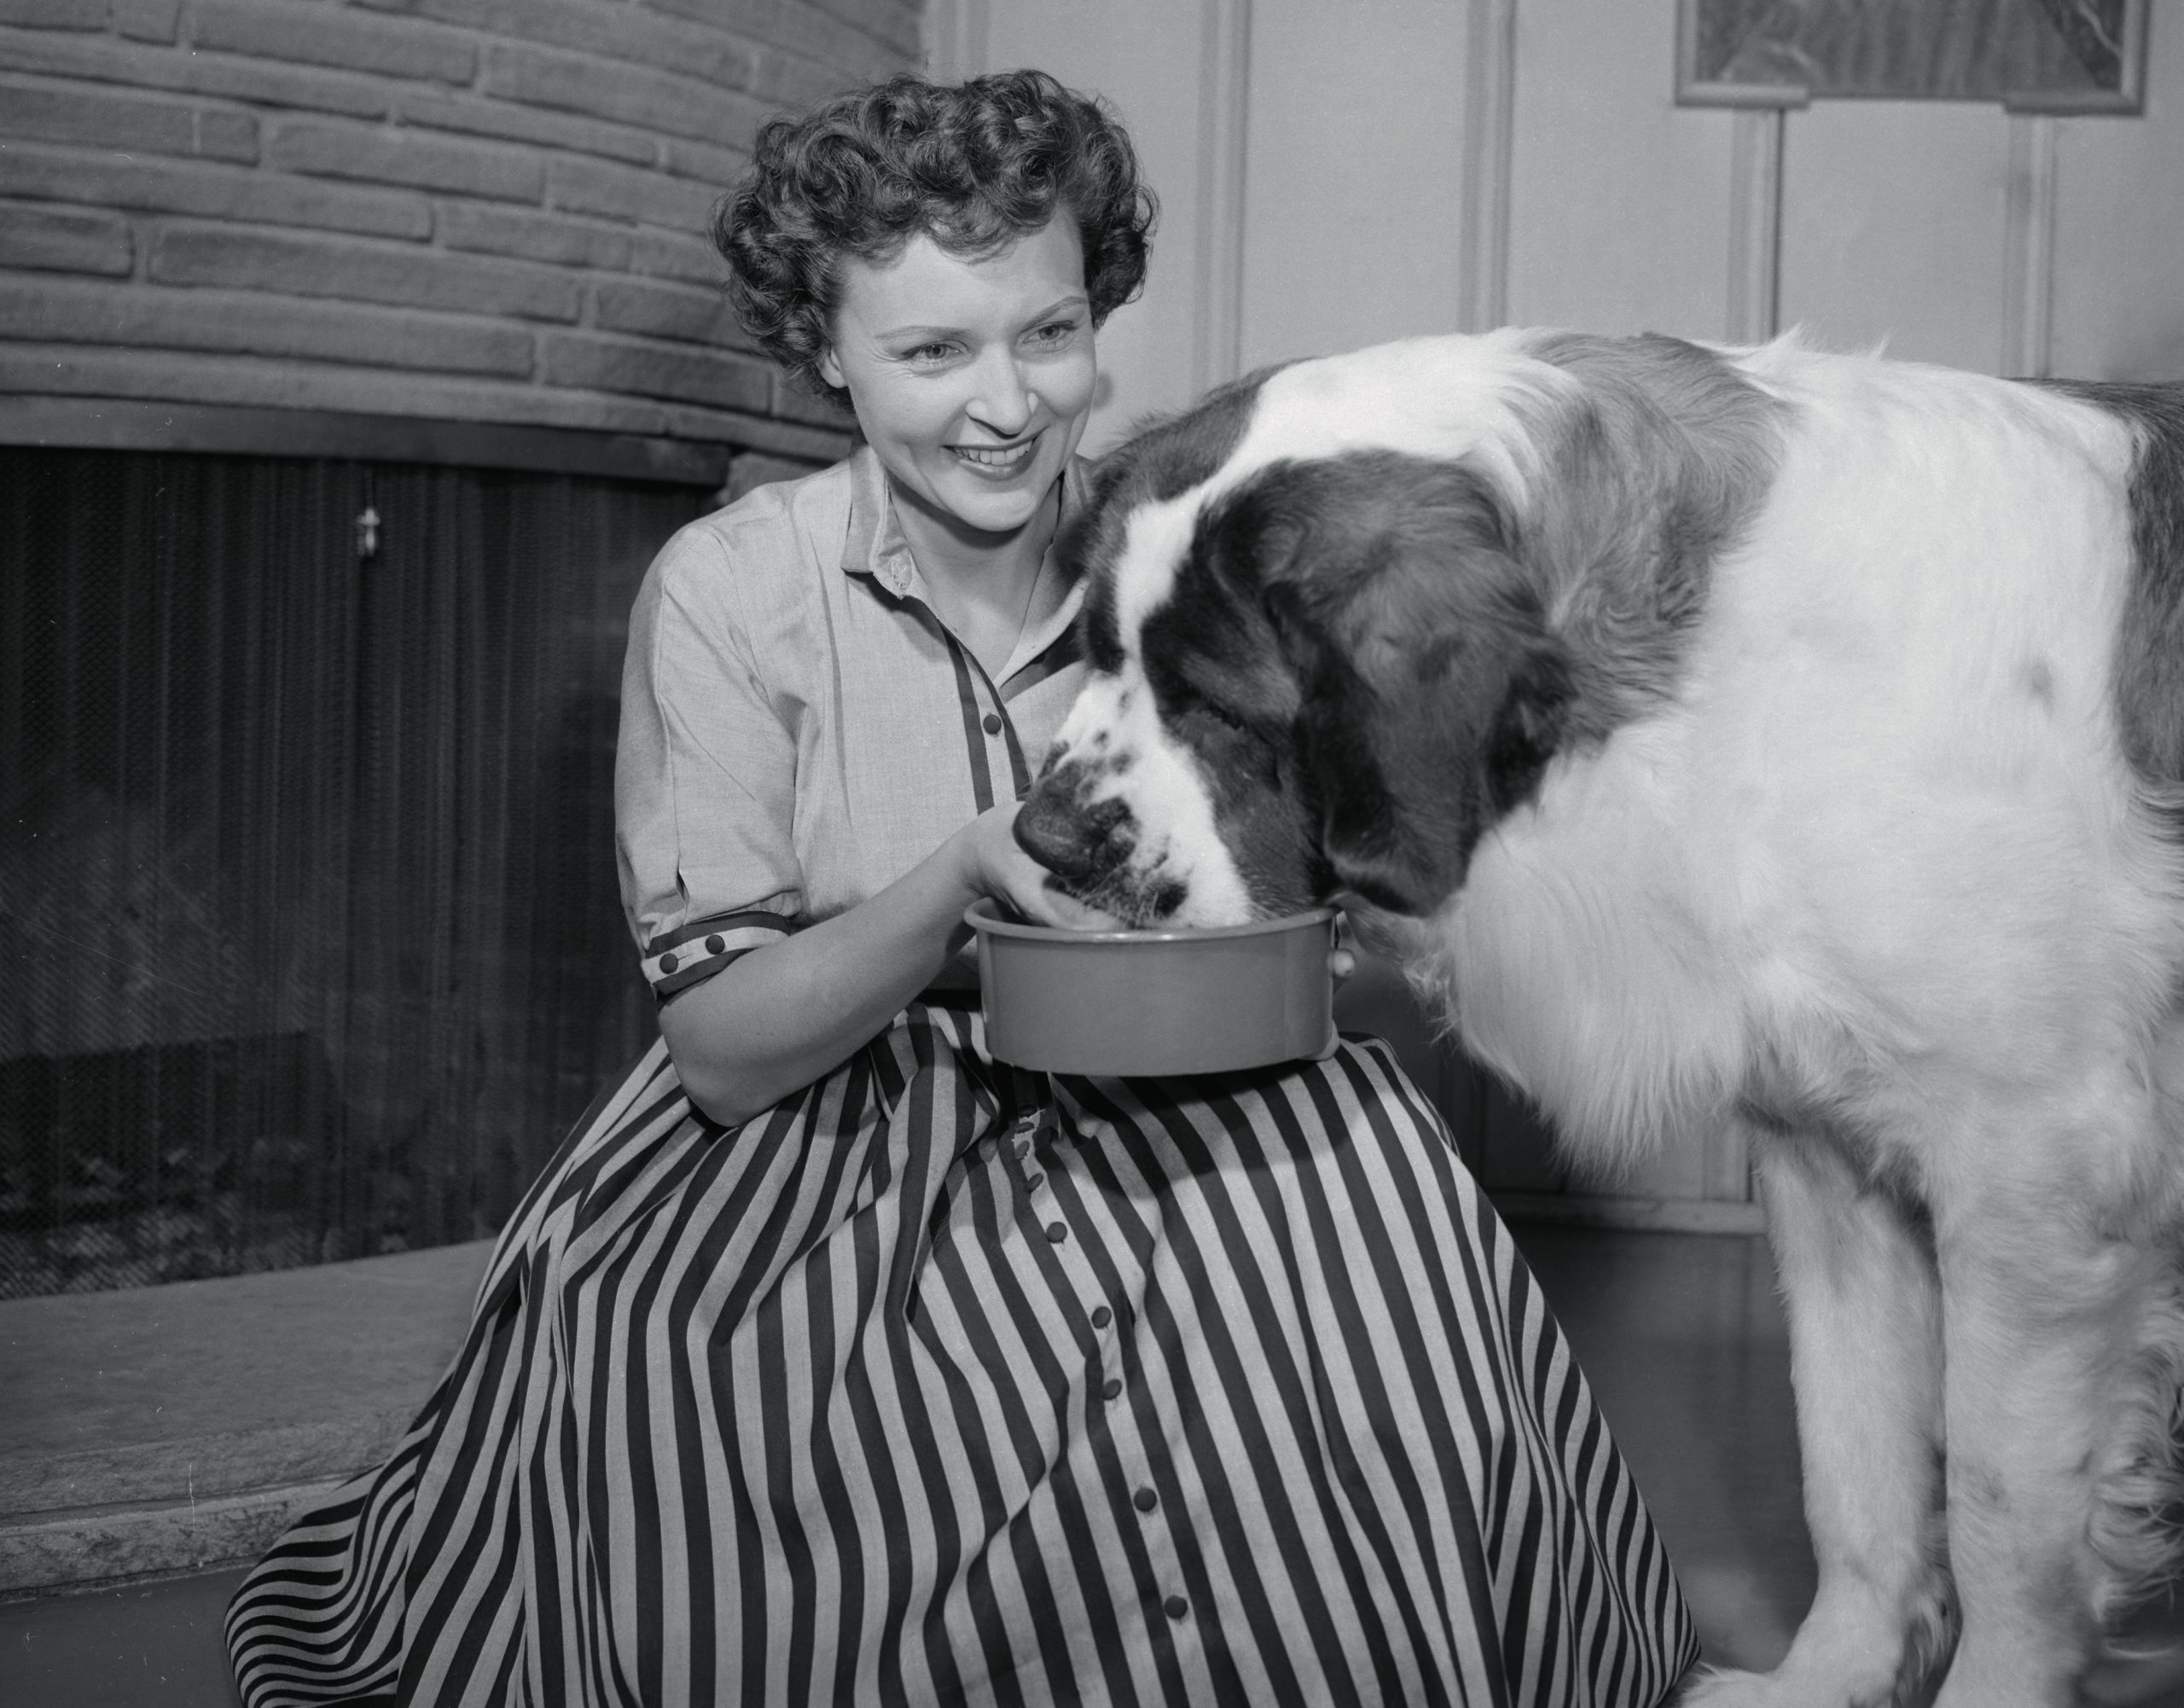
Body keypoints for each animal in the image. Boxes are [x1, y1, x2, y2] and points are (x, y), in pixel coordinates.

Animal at [1013, 328, 2184, 1703]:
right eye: (1097, 652)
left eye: (1217, 705)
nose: (1040, 837)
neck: (1718, 682)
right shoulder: (1831, 1165)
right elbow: (1854, 1465)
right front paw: (1826, 1676)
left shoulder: (2035, 1185)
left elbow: (2005, 1522)